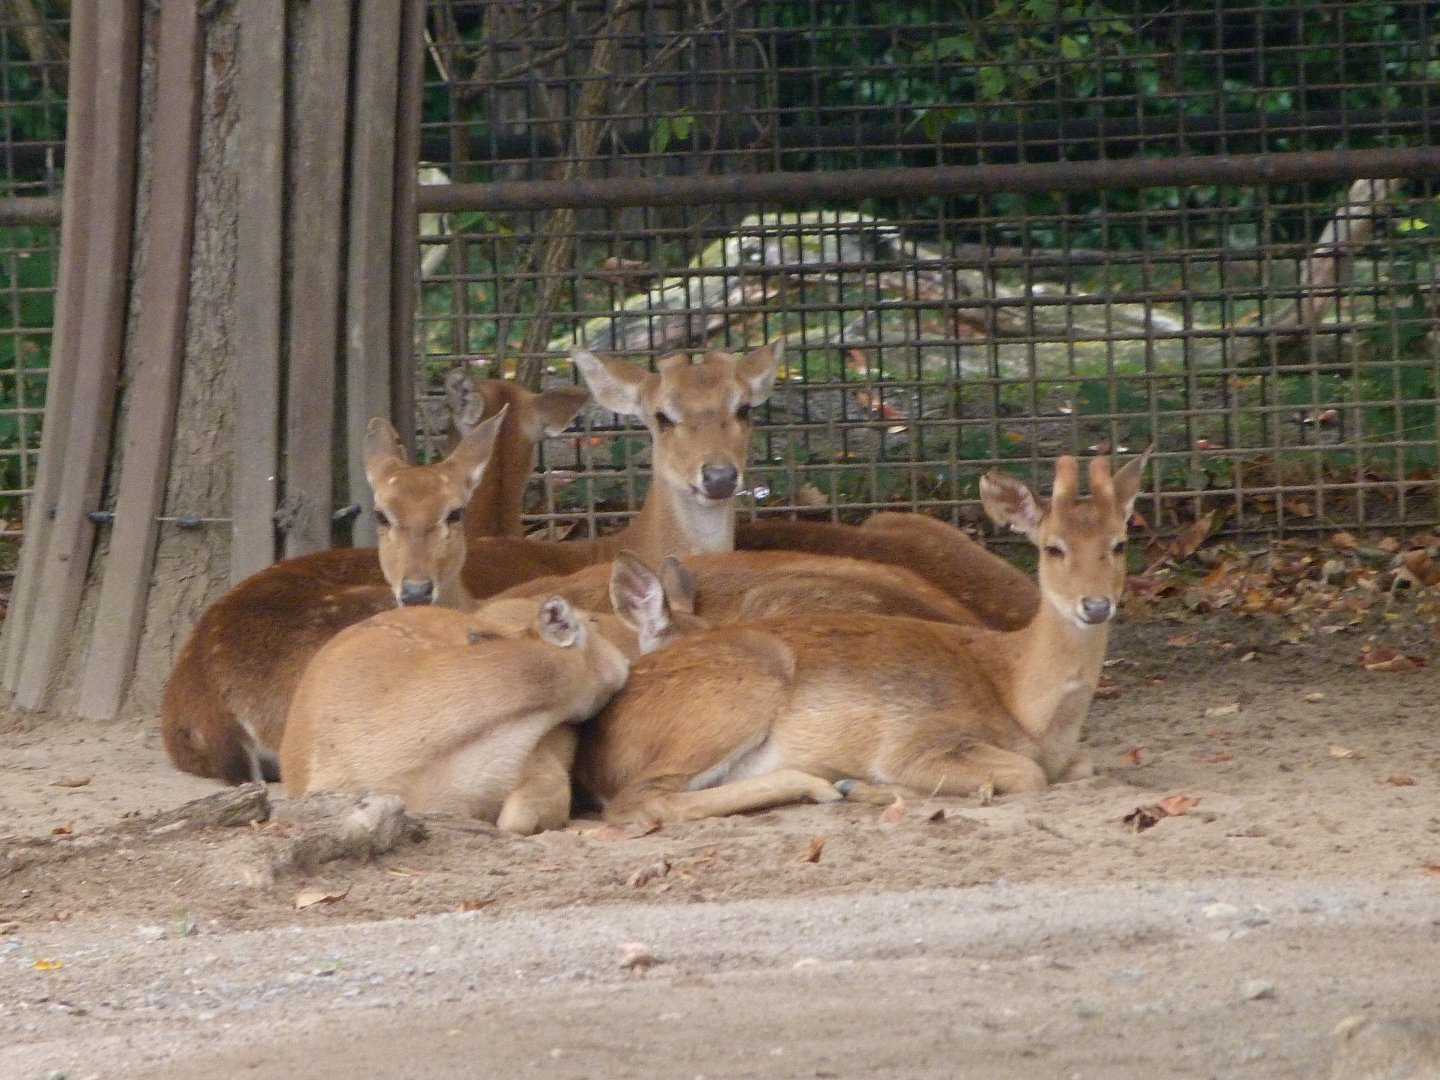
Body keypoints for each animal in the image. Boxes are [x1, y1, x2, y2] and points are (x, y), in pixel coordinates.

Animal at [574, 450, 1149, 825]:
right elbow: (1029, 775)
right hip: (732, 697)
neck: (1024, 700)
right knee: (640, 800)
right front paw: (878, 786)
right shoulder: (918, 738)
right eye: (1053, 548)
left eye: (1119, 543)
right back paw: (831, 785)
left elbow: (1081, 766)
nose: (1096, 605)